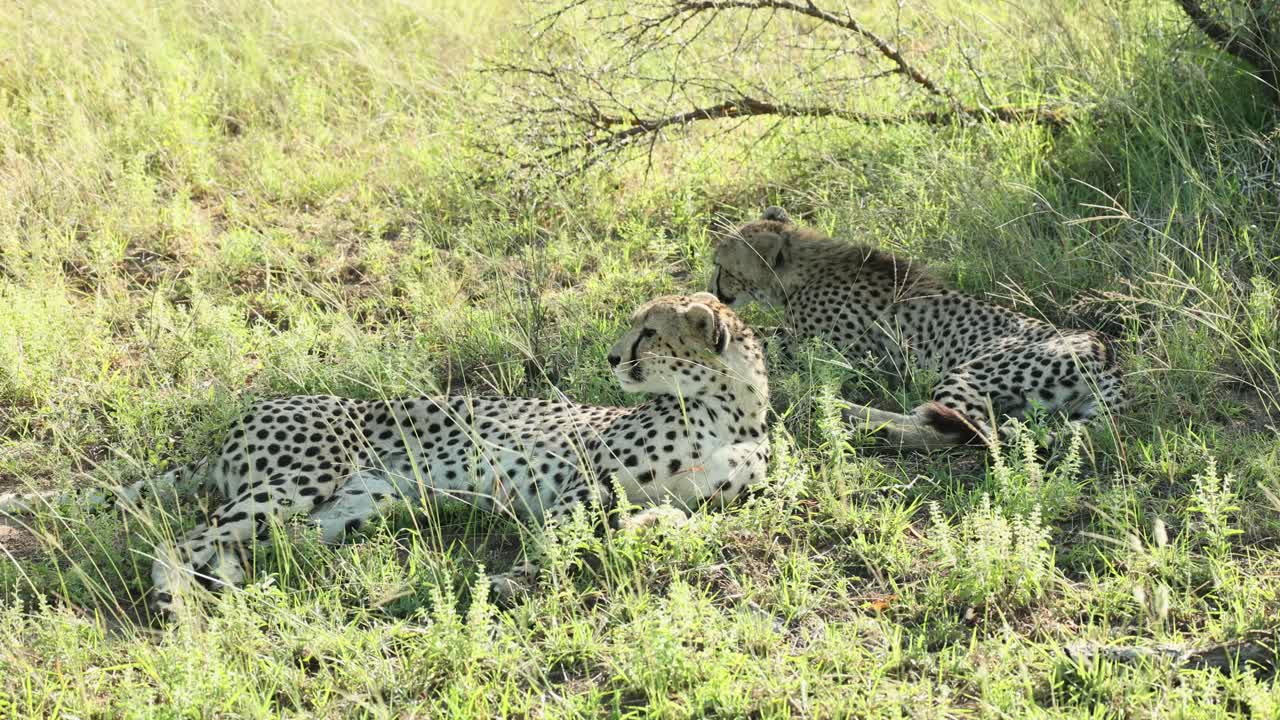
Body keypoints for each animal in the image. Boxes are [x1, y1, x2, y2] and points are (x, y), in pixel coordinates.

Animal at [3, 293, 770, 616]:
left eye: (650, 332)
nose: (612, 357)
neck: (730, 408)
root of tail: (249, 411)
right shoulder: (582, 478)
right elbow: (561, 538)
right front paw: (516, 582)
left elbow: (679, 517)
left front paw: (649, 529)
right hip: (305, 476)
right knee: (185, 536)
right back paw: (175, 600)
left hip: (348, 505)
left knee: (241, 543)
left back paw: (238, 593)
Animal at [709, 206, 1125, 449]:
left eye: (722, 266)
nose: (712, 286)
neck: (802, 267)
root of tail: (1107, 353)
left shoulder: (827, 353)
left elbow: (761, 342)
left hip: (970, 372)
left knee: (949, 430)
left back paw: (853, 417)